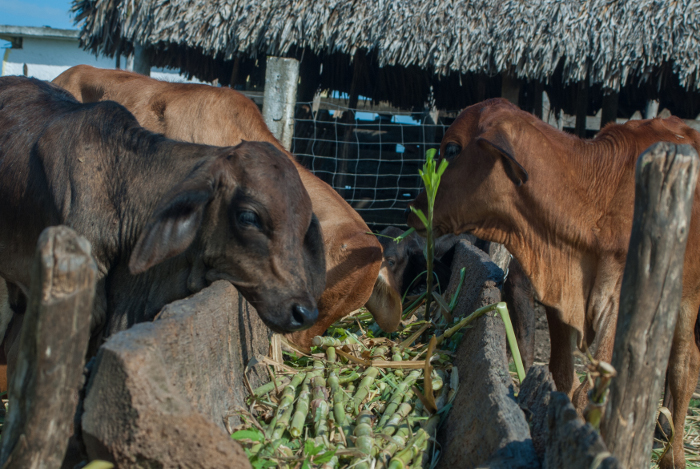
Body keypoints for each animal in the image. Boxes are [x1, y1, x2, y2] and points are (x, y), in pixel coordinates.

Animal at [408, 97, 700, 466]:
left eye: (451, 149)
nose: (415, 207)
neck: (592, 199)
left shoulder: (619, 304)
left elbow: (596, 390)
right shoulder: (561, 301)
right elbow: (562, 374)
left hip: (689, 295)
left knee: (684, 365)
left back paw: (673, 455)